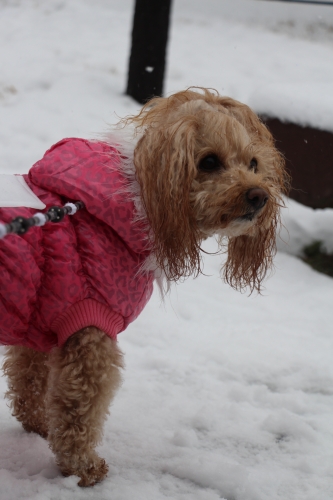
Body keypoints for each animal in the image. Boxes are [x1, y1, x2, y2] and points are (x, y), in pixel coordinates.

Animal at [0, 88, 286, 486]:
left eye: (254, 163)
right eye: (209, 161)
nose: (259, 195)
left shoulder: (42, 319)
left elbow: (28, 379)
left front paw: (38, 425)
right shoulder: (90, 328)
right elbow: (80, 406)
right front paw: (83, 467)